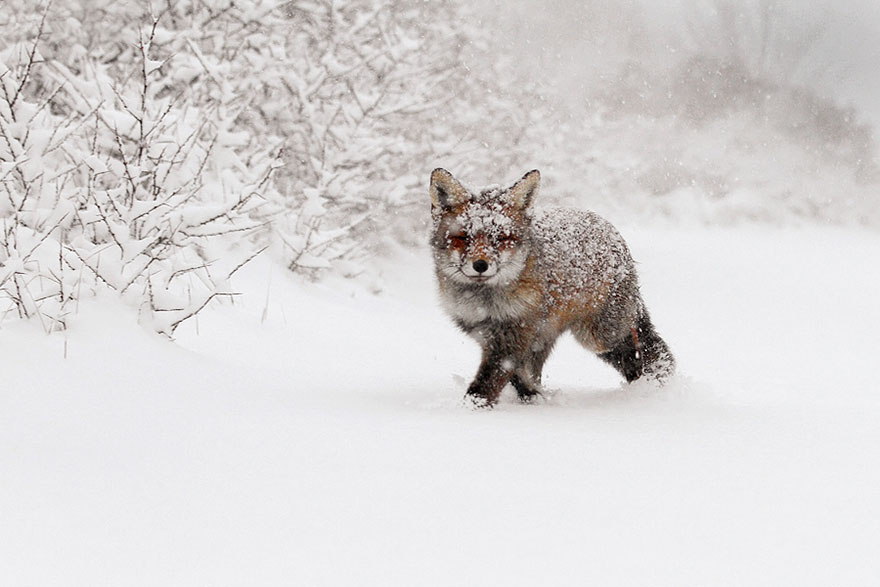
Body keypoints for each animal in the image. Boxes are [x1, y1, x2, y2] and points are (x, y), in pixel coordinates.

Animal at [432, 169, 672, 408]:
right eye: (462, 237)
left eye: (501, 238)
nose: (480, 265)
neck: (485, 303)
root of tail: (607, 225)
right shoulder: (490, 334)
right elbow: (519, 376)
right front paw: (532, 397)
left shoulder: (512, 335)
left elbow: (486, 384)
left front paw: (471, 409)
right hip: (546, 336)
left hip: (597, 336)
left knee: (635, 341)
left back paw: (648, 377)